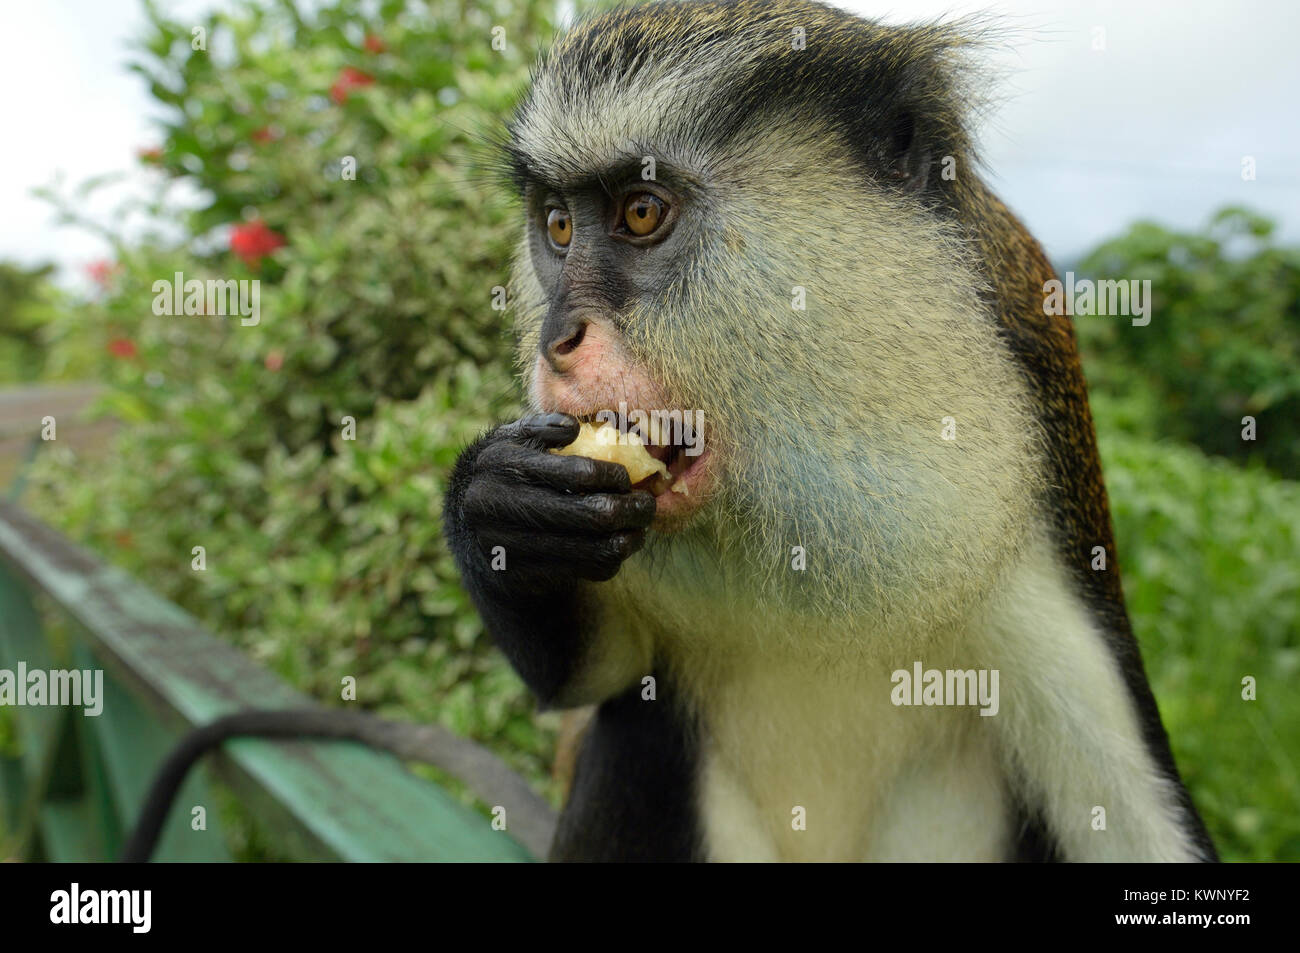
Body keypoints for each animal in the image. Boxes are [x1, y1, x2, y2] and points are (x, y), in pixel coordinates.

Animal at [443, 0, 1217, 862]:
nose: (556, 341)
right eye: (558, 226)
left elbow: (1137, 825)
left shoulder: (1043, 525)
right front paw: (497, 507)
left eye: (640, 213)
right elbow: (595, 678)